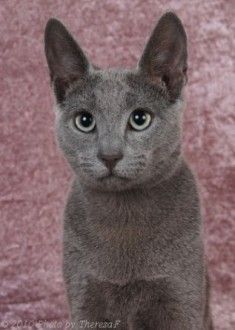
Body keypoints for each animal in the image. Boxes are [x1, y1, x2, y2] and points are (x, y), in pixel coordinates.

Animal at [44, 11, 213, 328]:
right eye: (84, 121)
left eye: (140, 119)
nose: (110, 155)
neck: (123, 215)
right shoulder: (84, 298)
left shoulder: (181, 296)